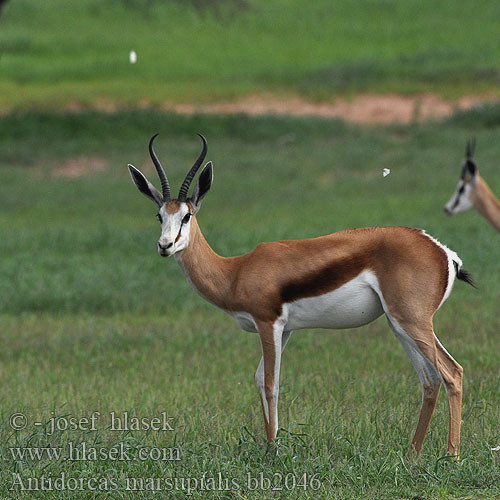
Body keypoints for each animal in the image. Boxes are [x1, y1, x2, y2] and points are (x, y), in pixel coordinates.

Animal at [128, 133, 472, 458]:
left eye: (186, 216)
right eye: (160, 215)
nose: (165, 246)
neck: (236, 271)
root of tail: (442, 251)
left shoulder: (268, 323)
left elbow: (270, 383)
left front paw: (272, 451)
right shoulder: (287, 330)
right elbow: (260, 379)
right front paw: (272, 444)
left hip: (412, 322)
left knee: (452, 373)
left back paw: (451, 456)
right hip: (398, 324)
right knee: (430, 379)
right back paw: (412, 455)